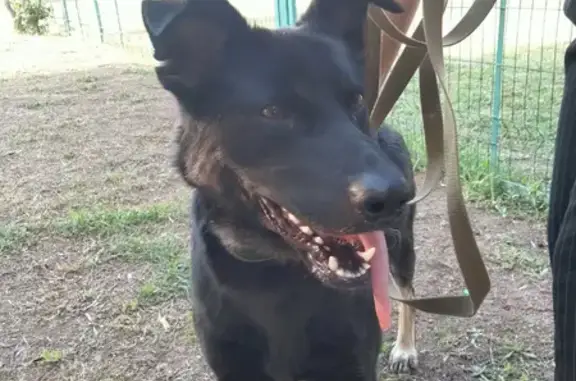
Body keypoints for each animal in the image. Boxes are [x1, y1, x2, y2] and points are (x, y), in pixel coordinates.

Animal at [140, 0, 418, 378]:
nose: (392, 196)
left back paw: (405, 346)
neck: (275, 267)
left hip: (402, 246)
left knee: (407, 291)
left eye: (356, 100)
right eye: (272, 111)